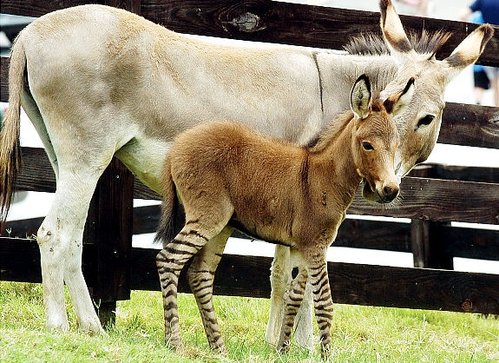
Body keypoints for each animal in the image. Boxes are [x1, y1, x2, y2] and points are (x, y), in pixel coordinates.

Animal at [156, 74, 414, 358]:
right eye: (367, 145)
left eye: (396, 146)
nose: (390, 191)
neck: (324, 177)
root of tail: (177, 145)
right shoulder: (316, 246)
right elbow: (324, 304)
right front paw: (326, 356)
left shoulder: (303, 248)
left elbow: (295, 297)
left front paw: (282, 349)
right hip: (208, 217)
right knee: (168, 260)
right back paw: (174, 343)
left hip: (222, 225)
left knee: (200, 275)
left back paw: (219, 348)